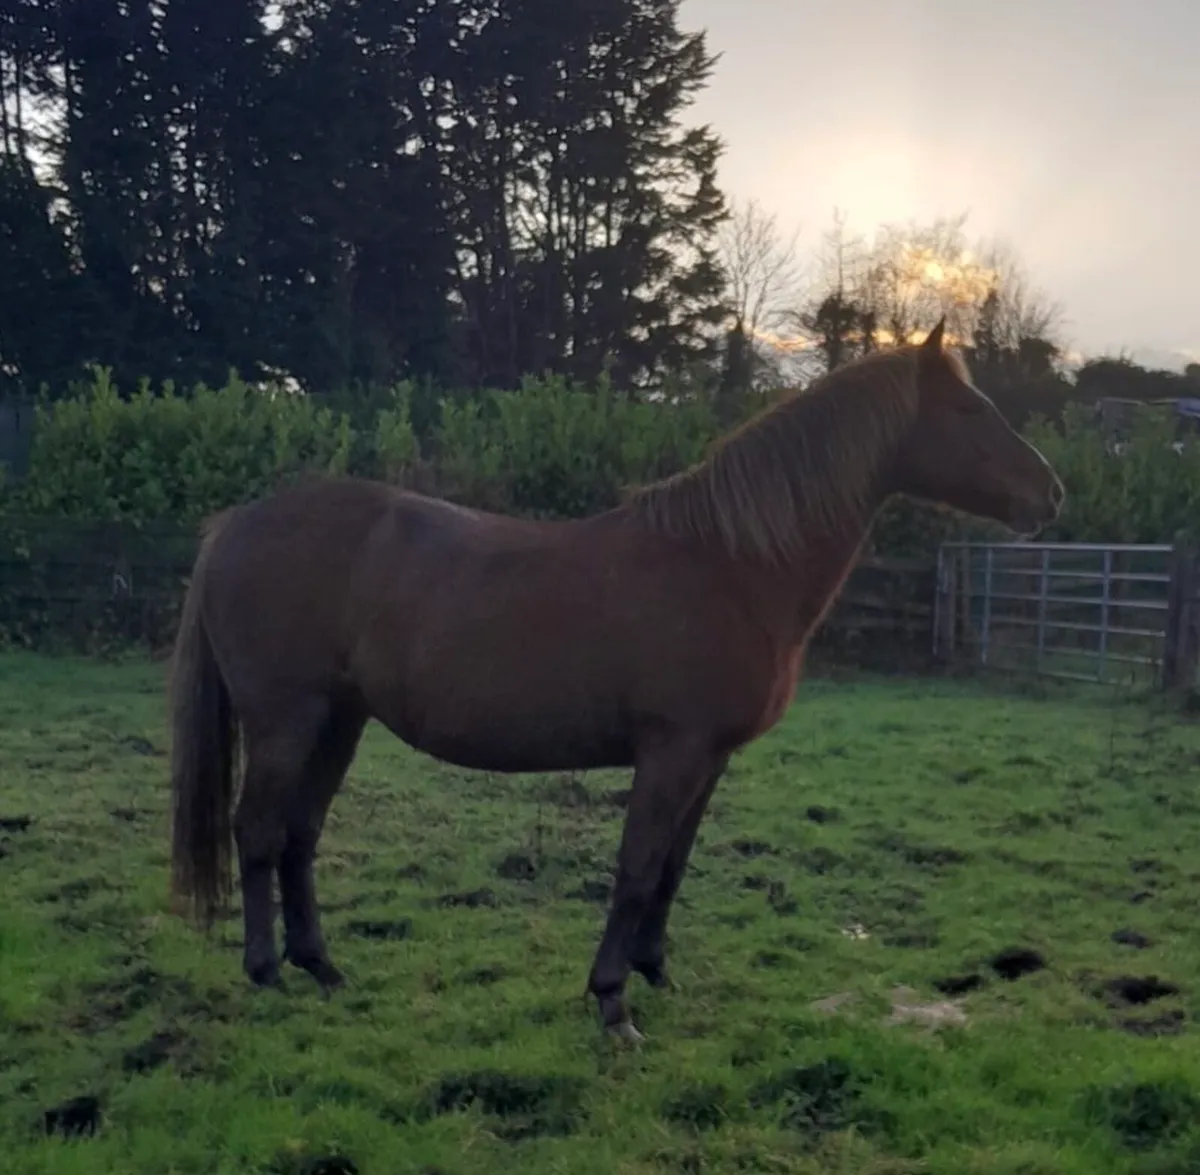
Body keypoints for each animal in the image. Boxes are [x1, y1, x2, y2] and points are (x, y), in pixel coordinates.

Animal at [167, 320, 1064, 1041]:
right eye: (971, 411)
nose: (1051, 493)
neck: (729, 565)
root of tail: (233, 526)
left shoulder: (710, 757)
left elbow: (672, 865)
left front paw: (657, 971)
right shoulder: (671, 751)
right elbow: (635, 866)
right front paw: (611, 1001)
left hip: (339, 721)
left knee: (300, 834)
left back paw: (322, 967)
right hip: (286, 719)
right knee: (258, 831)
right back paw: (266, 972)